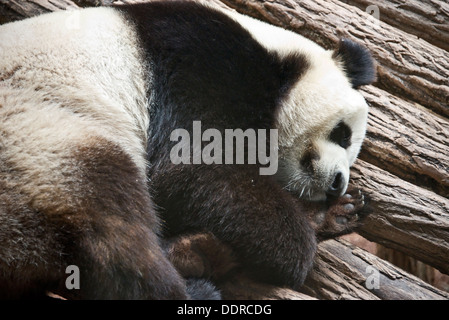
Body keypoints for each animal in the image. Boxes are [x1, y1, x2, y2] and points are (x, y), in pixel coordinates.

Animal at [0, 1, 374, 298]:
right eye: (342, 134)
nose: (338, 182)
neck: (276, 58)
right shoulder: (203, 64)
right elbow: (192, 167)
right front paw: (306, 232)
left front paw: (337, 211)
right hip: (43, 138)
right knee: (113, 220)